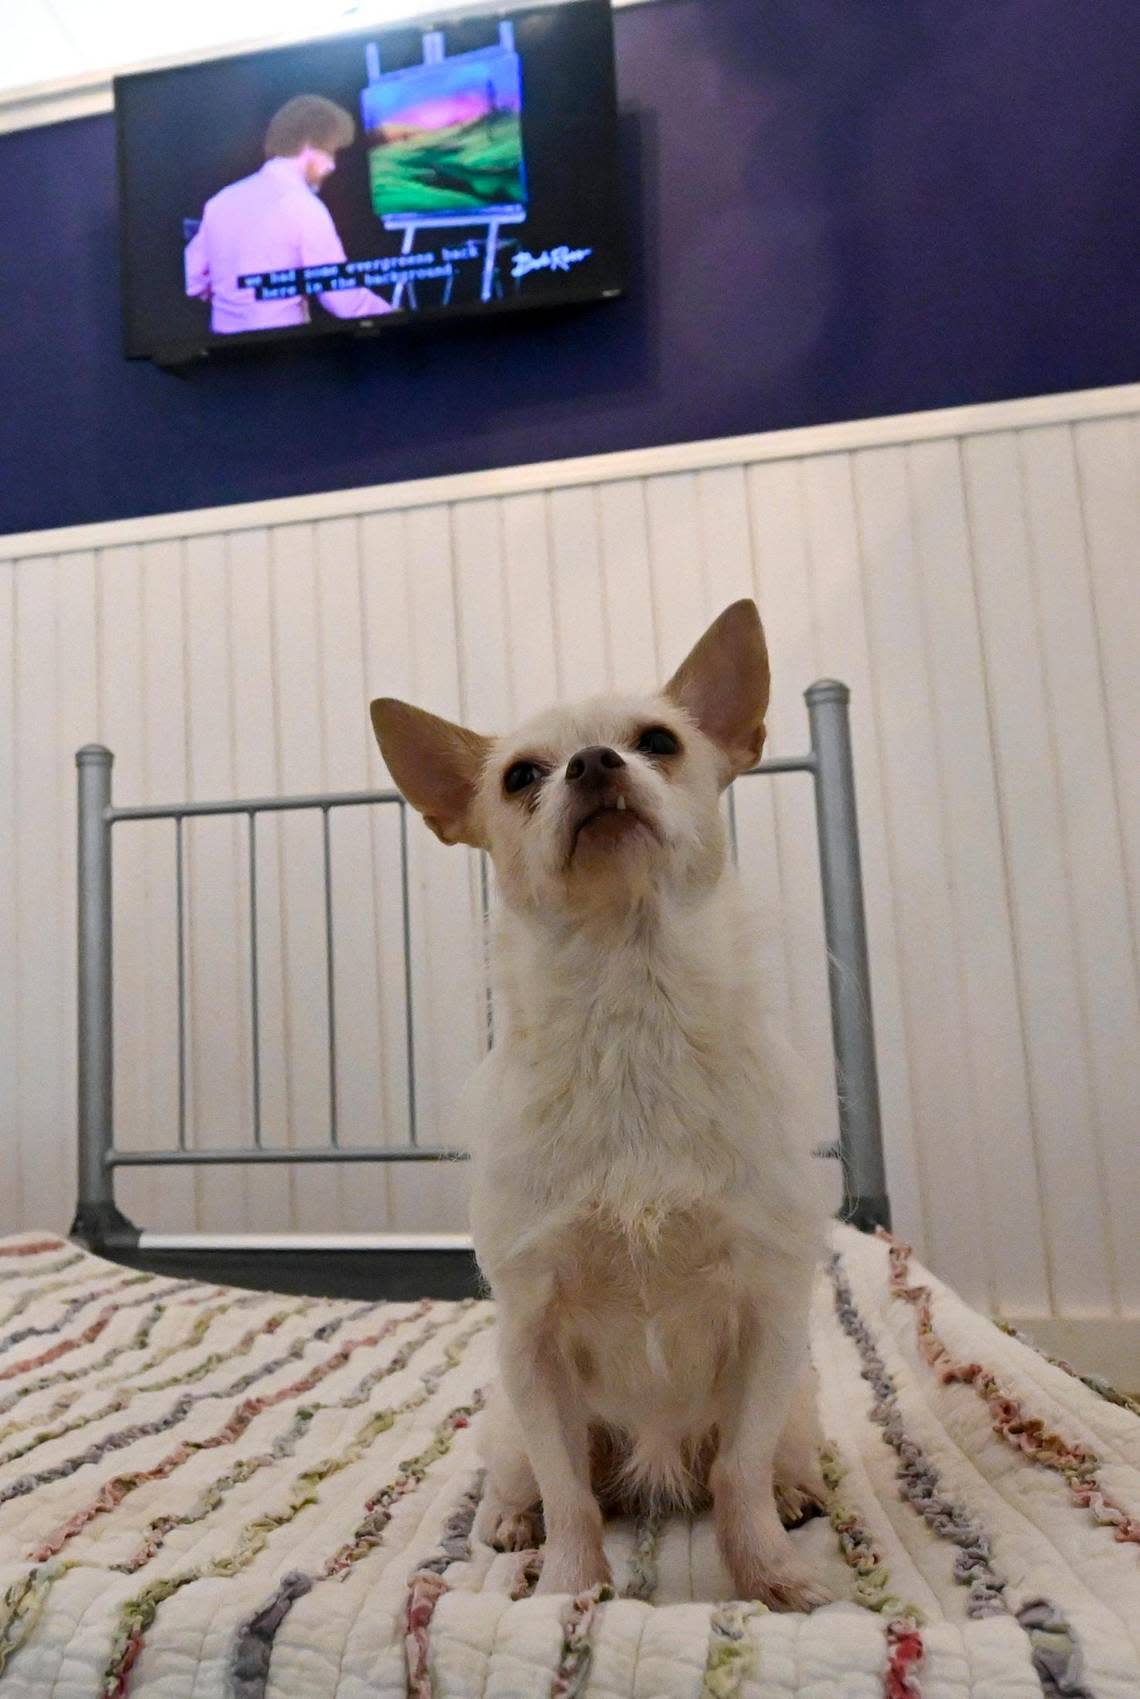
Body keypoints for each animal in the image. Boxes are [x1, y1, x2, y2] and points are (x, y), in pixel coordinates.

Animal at [372, 604, 829, 1610]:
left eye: (659, 742)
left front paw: (767, 1576)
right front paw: (570, 1591)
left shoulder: (770, 1315)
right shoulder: (531, 1342)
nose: (592, 762)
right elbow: (569, 1489)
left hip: (800, 1401)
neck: (629, 1001)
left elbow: (738, 1471)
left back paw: (795, 1495)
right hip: (506, 1421)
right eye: (521, 776)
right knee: (537, 1477)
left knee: (760, 1458)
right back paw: (512, 1524)